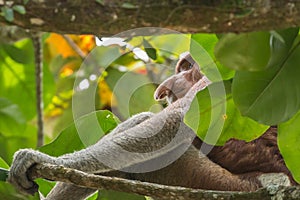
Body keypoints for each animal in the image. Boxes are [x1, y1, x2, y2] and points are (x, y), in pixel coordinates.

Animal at [7, 53, 290, 200]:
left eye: (186, 67)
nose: (165, 88)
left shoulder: (212, 81)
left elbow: (174, 123)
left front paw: (40, 159)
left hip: (223, 185)